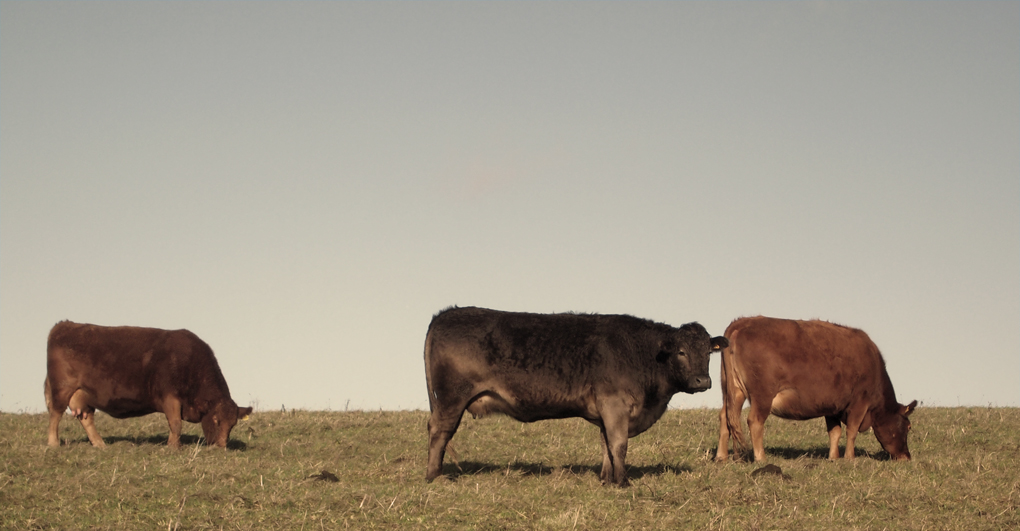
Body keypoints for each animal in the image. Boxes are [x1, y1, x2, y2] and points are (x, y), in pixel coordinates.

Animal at [46, 320, 255, 448]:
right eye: (215, 420)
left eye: (233, 424)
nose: (220, 446)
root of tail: (64, 325)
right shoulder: (170, 397)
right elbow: (176, 423)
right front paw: (173, 447)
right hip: (62, 388)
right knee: (55, 414)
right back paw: (53, 443)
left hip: (83, 395)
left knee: (86, 418)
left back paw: (100, 444)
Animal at [422, 305, 726, 485]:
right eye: (681, 352)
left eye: (708, 352)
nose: (703, 380)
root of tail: (447, 313)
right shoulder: (615, 404)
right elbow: (619, 445)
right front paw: (623, 482)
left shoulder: (606, 411)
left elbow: (606, 445)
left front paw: (607, 480)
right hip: (451, 397)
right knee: (440, 431)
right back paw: (434, 476)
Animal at [714, 315, 922, 460]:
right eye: (909, 426)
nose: (906, 457)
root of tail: (743, 322)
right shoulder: (859, 402)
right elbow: (852, 430)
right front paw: (850, 458)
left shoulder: (832, 406)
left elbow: (835, 432)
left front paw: (833, 458)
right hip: (762, 394)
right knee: (754, 421)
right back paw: (760, 458)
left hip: (732, 391)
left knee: (725, 417)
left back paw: (721, 457)